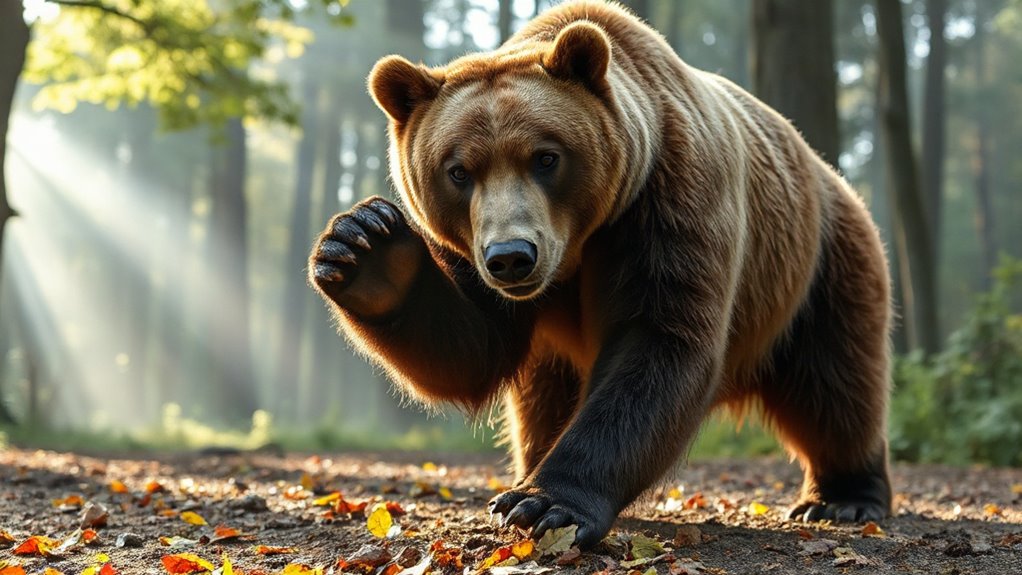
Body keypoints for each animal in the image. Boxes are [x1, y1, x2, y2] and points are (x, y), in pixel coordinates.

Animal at [309, 0, 892, 549]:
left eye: (546, 157)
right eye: (458, 171)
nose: (512, 256)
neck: (577, 248)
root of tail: (830, 174)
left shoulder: (666, 205)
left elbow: (657, 342)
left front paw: (546, 505)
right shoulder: (474, 252)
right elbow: (471, 348)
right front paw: (368, 247)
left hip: (820, 263)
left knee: (836, 383)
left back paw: (843, 498)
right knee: (539, 399)